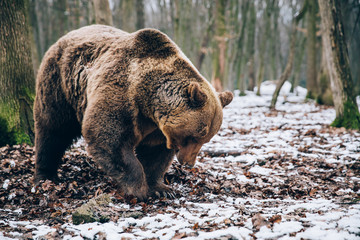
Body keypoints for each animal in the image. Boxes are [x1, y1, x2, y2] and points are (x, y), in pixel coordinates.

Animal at [34, 24, 233, 201]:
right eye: (195, 135)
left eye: (206, 139)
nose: (188, 163)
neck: (147, 101)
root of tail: (64, 37)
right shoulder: (123, 95)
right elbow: (110, 139)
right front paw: (140, 189)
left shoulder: (156, 128)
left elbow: (155, 155)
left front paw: (161, 189)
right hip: (60, 85)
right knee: (52, 131)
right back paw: (46, 175)